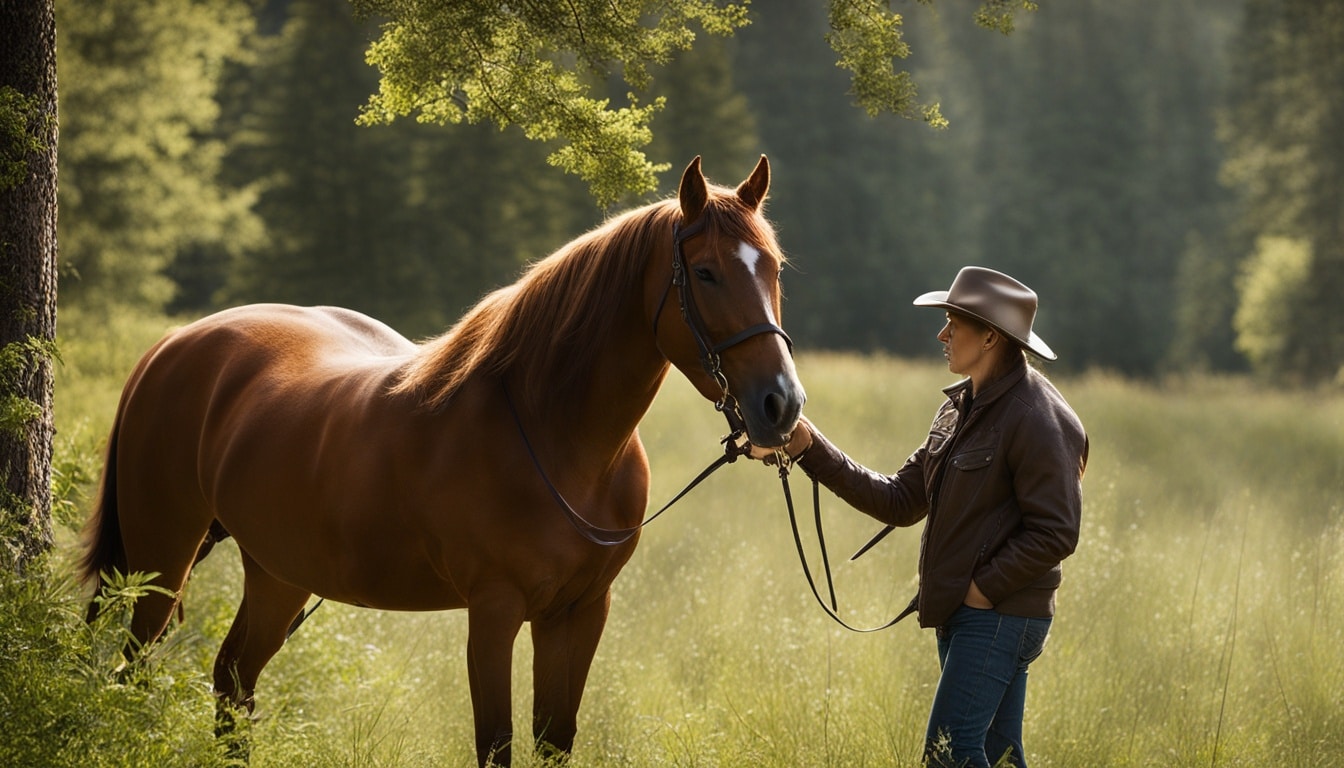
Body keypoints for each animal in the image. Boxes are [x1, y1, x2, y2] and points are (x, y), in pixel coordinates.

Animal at [81, 154, 806, 763]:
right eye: (706, 272)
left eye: (773, 268)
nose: (781, 403)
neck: (553, 437)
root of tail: (175, 344)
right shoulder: (494, 611)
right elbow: (497, 745)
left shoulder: (579, 613)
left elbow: (552, 741)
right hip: (159, 560)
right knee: (134, 671)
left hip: (277, 571)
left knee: (233, 681)